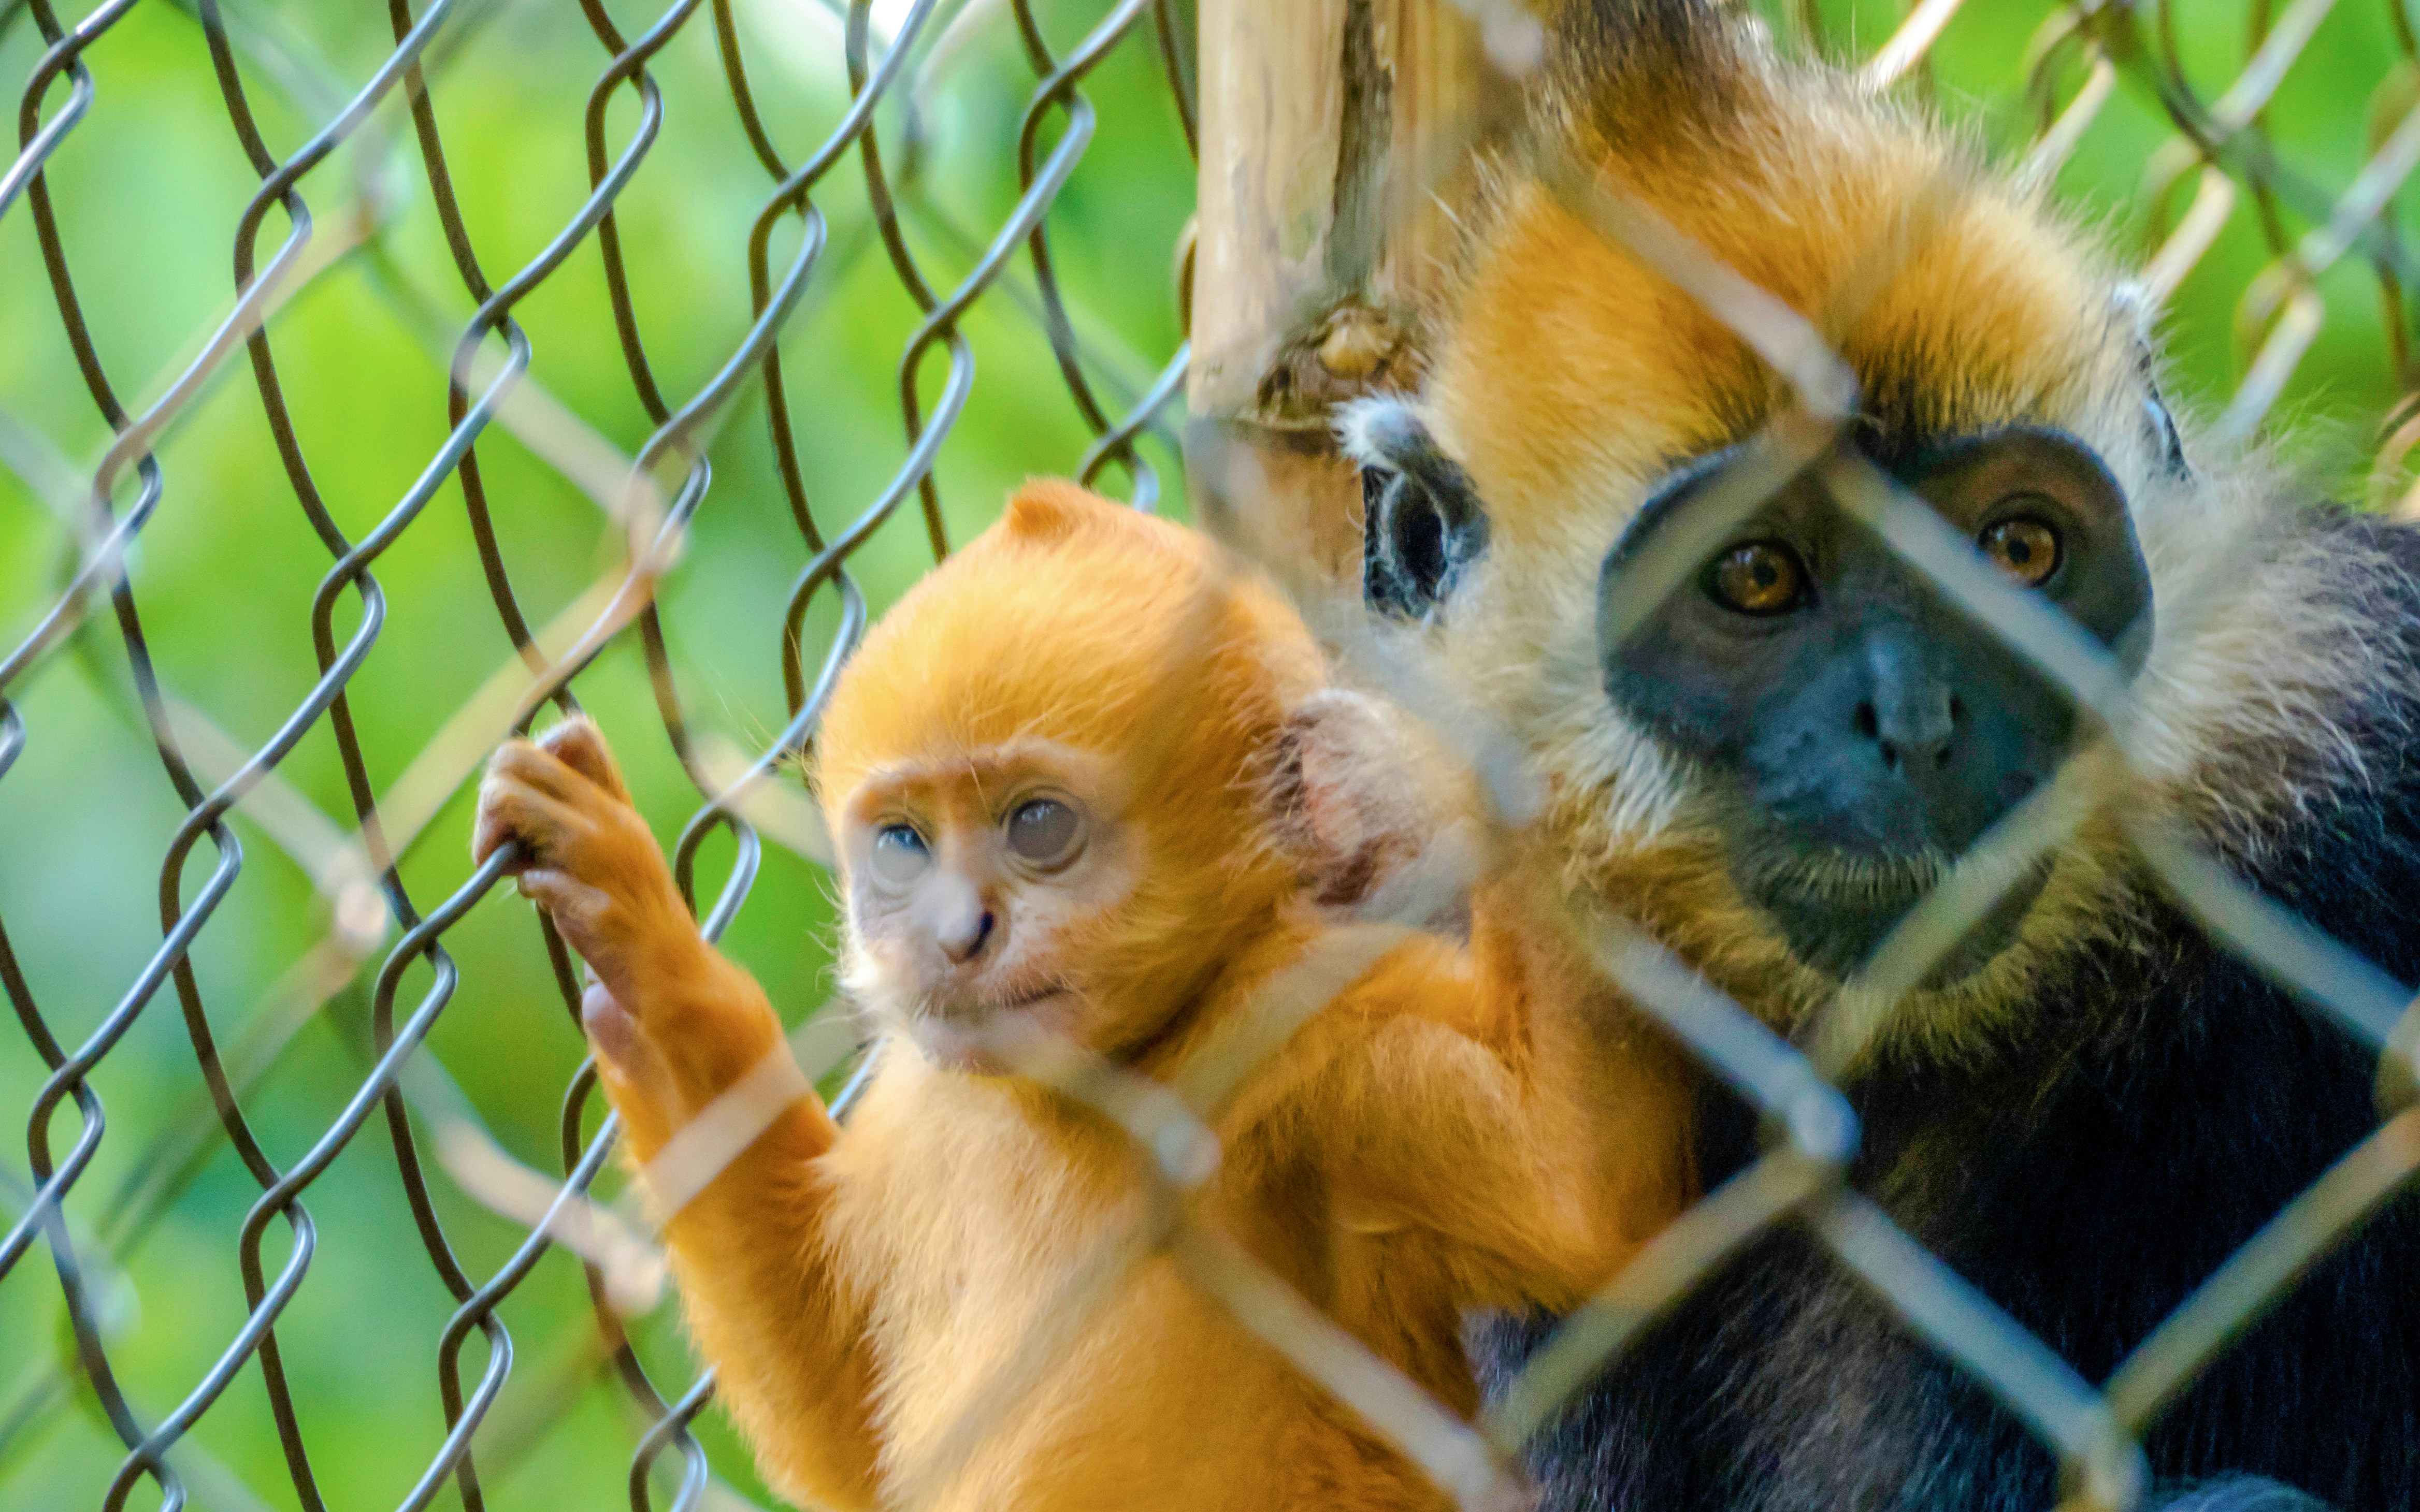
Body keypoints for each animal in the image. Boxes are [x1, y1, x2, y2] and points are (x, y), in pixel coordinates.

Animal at [470, 481, 1692, 1512]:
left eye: (1037, 826)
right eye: (904, 844)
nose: (955, 935)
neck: (1124, 1066)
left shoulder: (1308, 1014)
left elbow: (1582, 1199)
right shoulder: (921, 1096)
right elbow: (846, 1449)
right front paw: (648, 962)